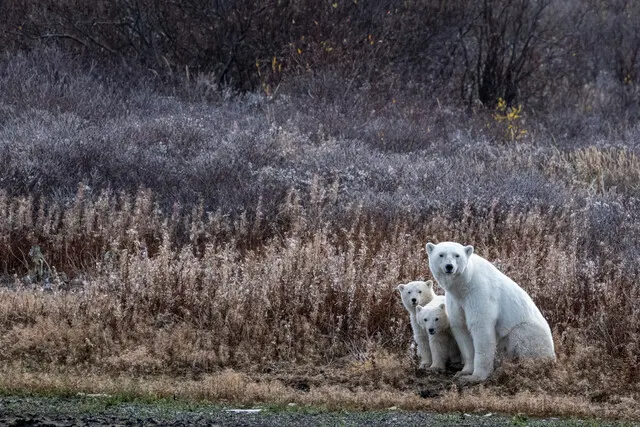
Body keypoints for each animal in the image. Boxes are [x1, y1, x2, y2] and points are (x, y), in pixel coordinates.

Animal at [426, 241, 555, 384]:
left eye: (457, 255)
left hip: (533, 335)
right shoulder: (455, 300)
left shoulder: (479, 293)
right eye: (441, 254)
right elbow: (461, 328)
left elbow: (481, 327)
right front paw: (464, 372)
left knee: (520, 337)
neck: (464, 284)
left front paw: (475, 377)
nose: (449, 266)